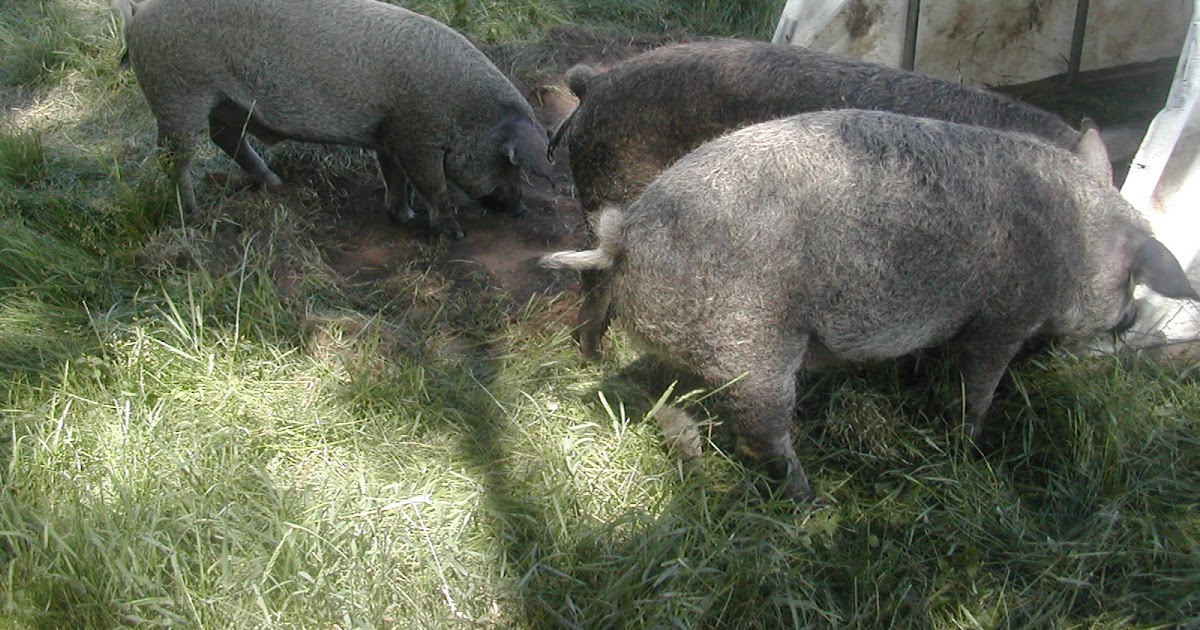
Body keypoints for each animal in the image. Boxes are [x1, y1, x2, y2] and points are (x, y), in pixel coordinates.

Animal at [113, 0, 553, 239]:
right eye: (509, 163)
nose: (521, 210)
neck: (463, 110)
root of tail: (138, 14)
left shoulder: (389, 134)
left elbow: (394, 177)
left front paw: (403, 216)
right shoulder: (417, 137)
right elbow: (434, 186)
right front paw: (454, 233)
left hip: (226, 104)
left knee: (226, 138)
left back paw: (275, 183)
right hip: (178, 94)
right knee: (176, 159)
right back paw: (193, 215)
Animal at [541, 110, 1198, 501]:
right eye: (1133, 280)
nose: (1127, 320)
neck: (1075, 241)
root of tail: (625, 235)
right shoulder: (1001, 315)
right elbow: (979, 384)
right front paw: (974, 442)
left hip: (680, 340)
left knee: (666, 402)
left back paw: (694, 460)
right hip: (752, 346)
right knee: (761, 433)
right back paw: (811, 501)